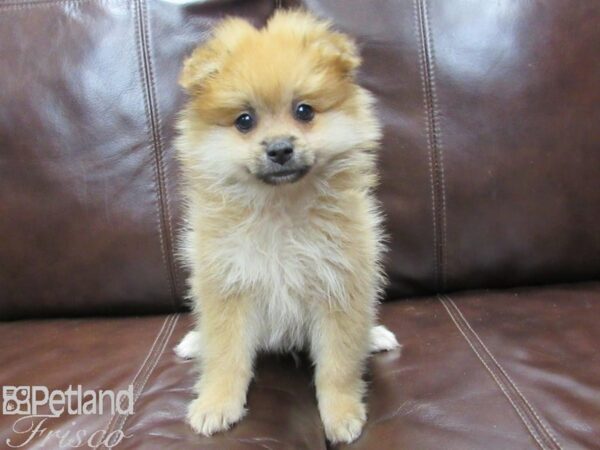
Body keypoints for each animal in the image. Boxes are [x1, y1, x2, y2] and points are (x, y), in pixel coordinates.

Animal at [173, 9, 398, 442]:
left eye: (304, 111)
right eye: (244, 121)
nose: (280, 148)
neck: (279, 209)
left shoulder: (340, 285)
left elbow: (338, 363)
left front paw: (341, 413)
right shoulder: (228, 286)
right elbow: (226, 356)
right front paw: (216, 404)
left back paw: (374, 335)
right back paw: (196, 341)